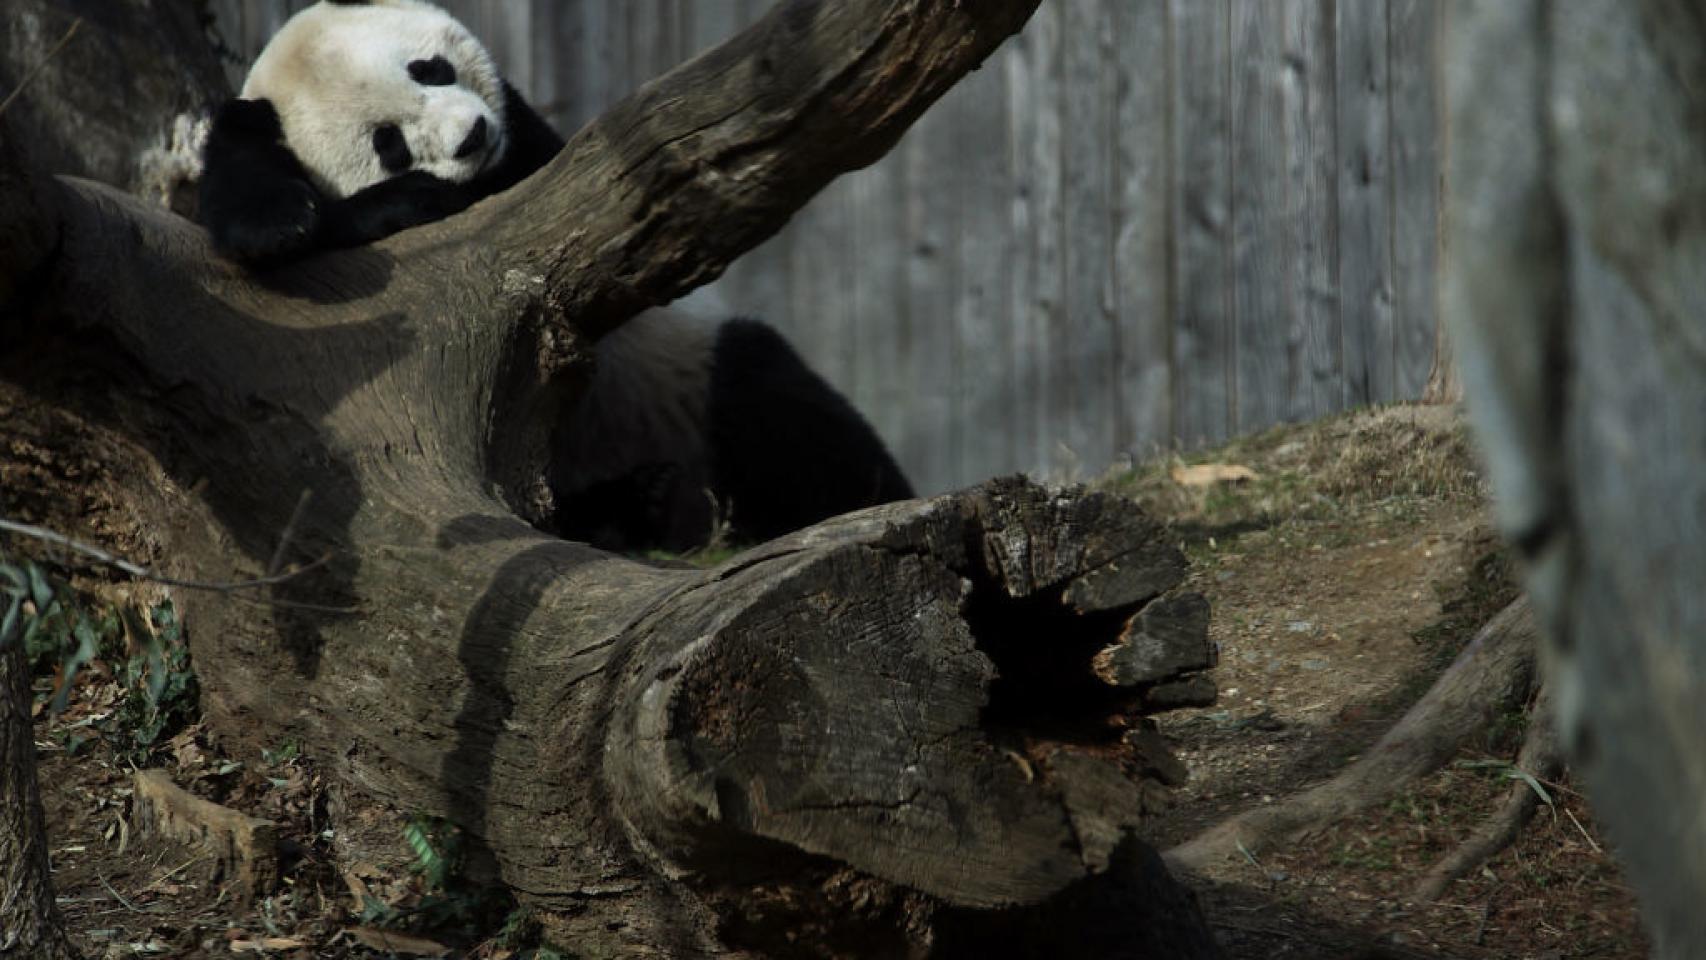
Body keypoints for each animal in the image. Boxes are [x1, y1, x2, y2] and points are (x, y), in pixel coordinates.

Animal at [199, 0, 913, 552]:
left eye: (428, 68)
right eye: (388, 144)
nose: (470, 136)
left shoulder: (536, 166)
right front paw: (286, 219)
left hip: (691, 373)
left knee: (779, 405)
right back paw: (631, 506)